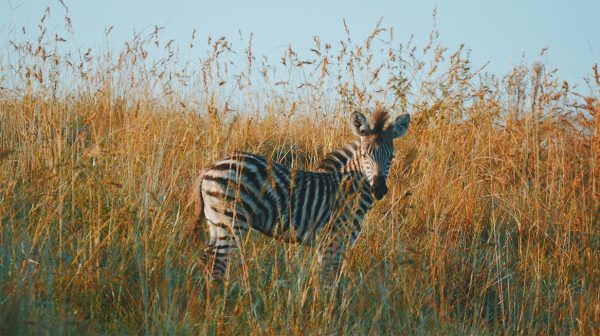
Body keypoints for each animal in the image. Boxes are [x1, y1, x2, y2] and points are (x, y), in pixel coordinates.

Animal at [190, 107, 410, 284]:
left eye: (391, 157)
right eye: (365, 155)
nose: (378, 189)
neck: (348, 189)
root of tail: (209, 167)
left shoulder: (331, 243)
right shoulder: (333, 239)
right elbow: (328, 281)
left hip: (217, 223)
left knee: (207, 261)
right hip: (230, 222)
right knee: (217, 265)